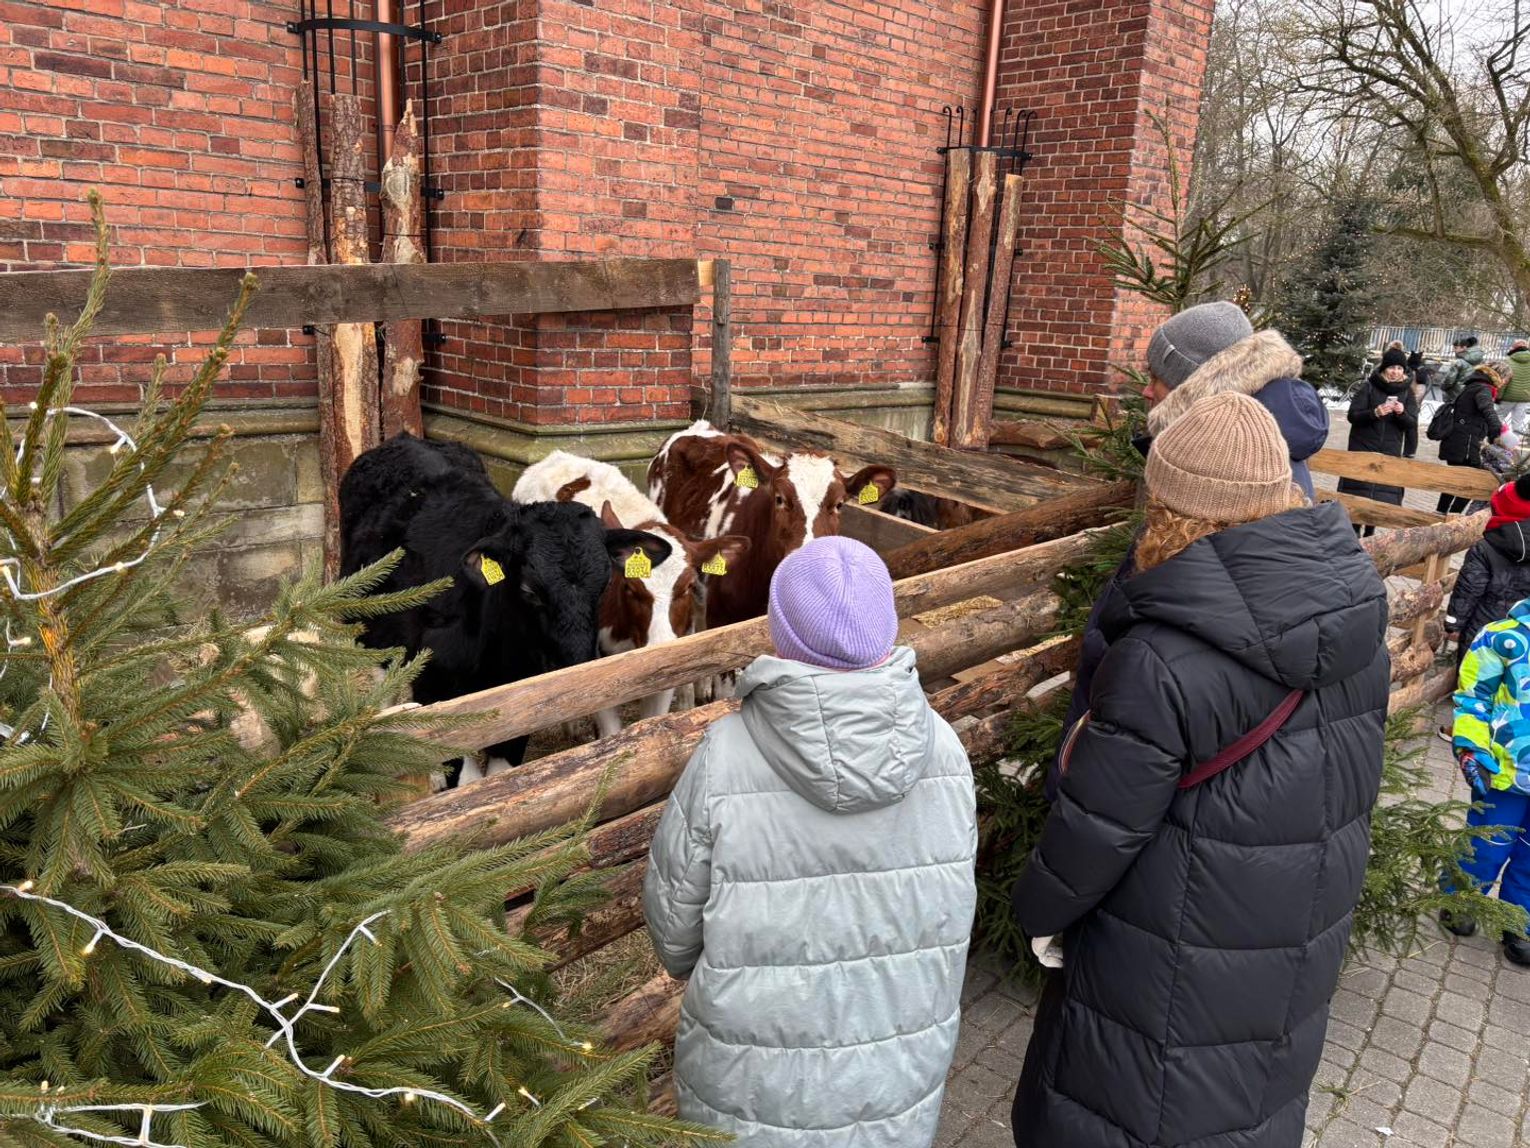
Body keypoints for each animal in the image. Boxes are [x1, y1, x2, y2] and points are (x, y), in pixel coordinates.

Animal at [339, 433, 672, 785]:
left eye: (605, 584)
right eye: (528, 589)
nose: (575, 667)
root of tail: (405, 438)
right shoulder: (438, 684)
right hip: (375, 628)